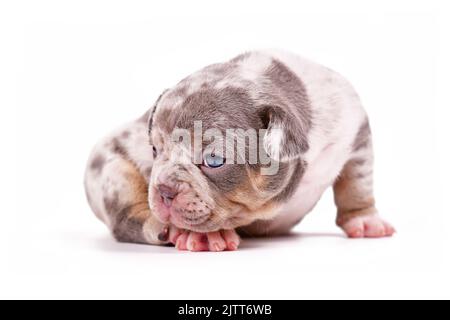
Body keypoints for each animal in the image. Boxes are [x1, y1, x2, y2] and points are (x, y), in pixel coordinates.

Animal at [83, 50, 394, 251]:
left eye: (214, 160)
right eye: (155, 150)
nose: (164, 190)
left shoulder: (356, 132)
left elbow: (357, 183)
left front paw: (365, 221)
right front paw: (207, 236)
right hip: (111, 172)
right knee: (127, 218)